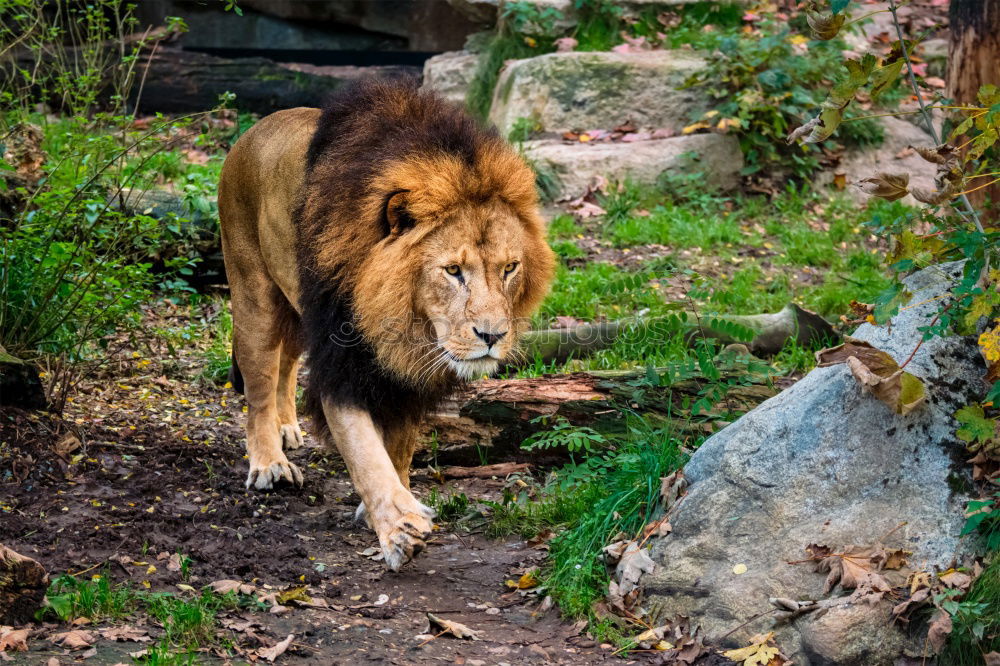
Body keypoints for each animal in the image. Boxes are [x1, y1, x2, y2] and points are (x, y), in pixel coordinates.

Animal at [219, 76, 560, 564]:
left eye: (510, 268)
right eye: (453, 271)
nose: (492, 336)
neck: (403, 322)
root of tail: (254, 129)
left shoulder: (409, 374)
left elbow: (398, 447)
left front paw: (394, 501)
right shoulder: (341, 363)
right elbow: (364, 450)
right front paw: (398, 525)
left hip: (297, 310)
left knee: (286, 364)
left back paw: (287, 429)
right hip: (254, 294)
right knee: (260, 383)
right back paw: (269, 463)